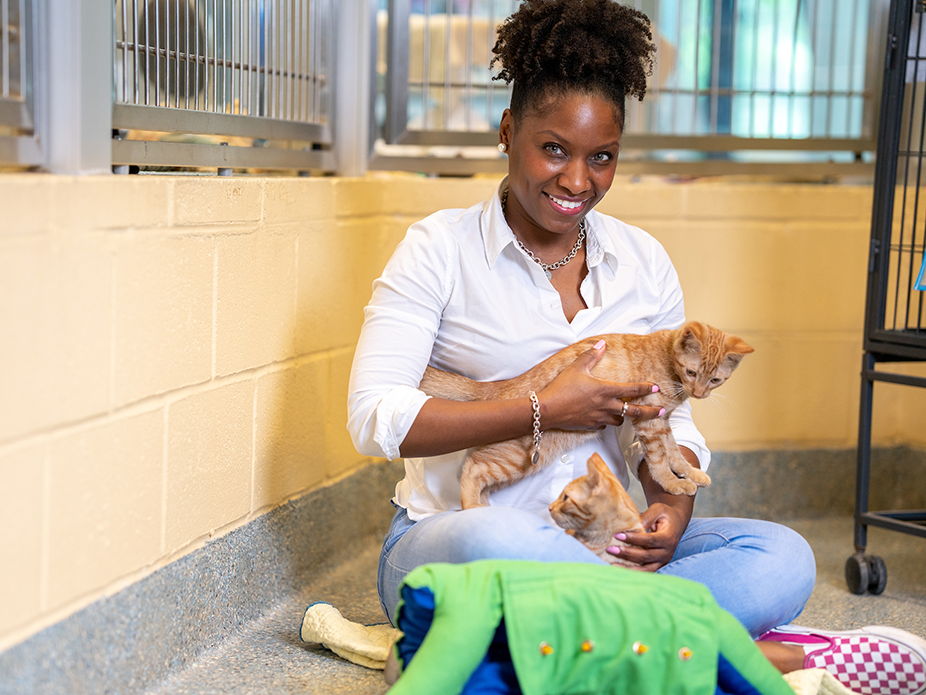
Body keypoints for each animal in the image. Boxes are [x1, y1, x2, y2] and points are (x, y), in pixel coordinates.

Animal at [420, 320, 752, 506]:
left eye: (715, 380)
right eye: (691, 372)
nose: (699, 393)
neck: (668, 362)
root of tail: (501, 387)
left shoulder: (663, 420)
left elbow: (675, 452)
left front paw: (691, 473)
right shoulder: (648, 418)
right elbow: (659, 459)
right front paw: (672, 483)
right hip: (516, 456)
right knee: (473, 467)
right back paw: (472, 511)